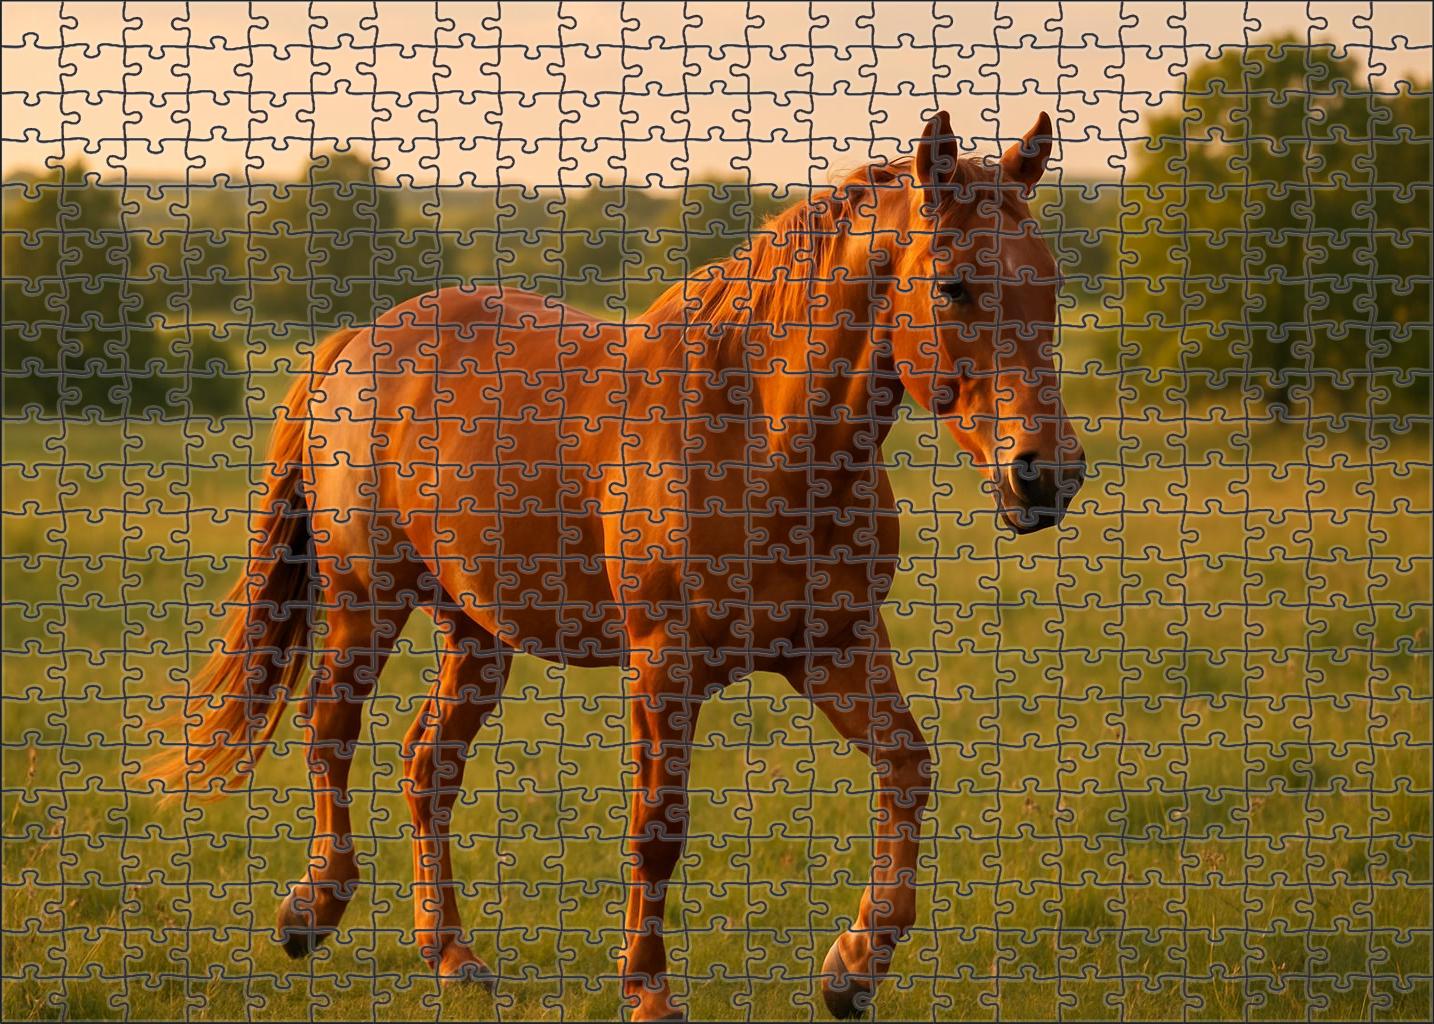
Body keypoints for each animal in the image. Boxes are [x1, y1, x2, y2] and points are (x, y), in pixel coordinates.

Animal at [146, 111, 1085, 1020]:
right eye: (953, 285)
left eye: (1048, 286)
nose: (1047, 474)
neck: (760, 436)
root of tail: (352, 348)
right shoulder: (664, 665)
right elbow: (657, 828)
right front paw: (648, 991)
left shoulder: (836, 649)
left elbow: (907, 768)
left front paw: (852, 968)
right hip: (362, 607)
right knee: (330, 734)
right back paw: (313, 909)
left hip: (476, 634)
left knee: (427, 766)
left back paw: (453, 957)